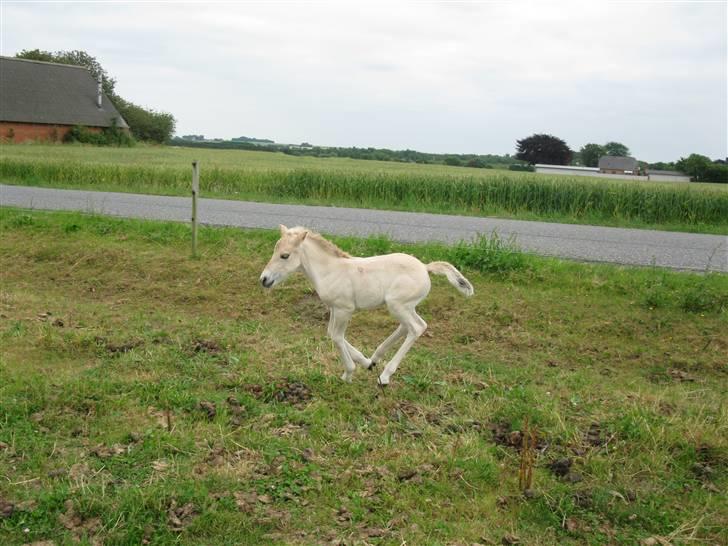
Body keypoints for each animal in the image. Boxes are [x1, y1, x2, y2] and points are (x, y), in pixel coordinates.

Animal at [258, 223, 474, 384]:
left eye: (285, 255)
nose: (264, 280)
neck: (330, 270)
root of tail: (425, 267)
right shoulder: (334, 308)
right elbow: (331, 333)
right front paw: (365, 362)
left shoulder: (345, 309)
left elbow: (336, 336)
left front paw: (348, 373)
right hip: (405, 306)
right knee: (410, 326)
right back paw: (376, 358)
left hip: (397, 305)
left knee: (416, 328)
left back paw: (385, 376)